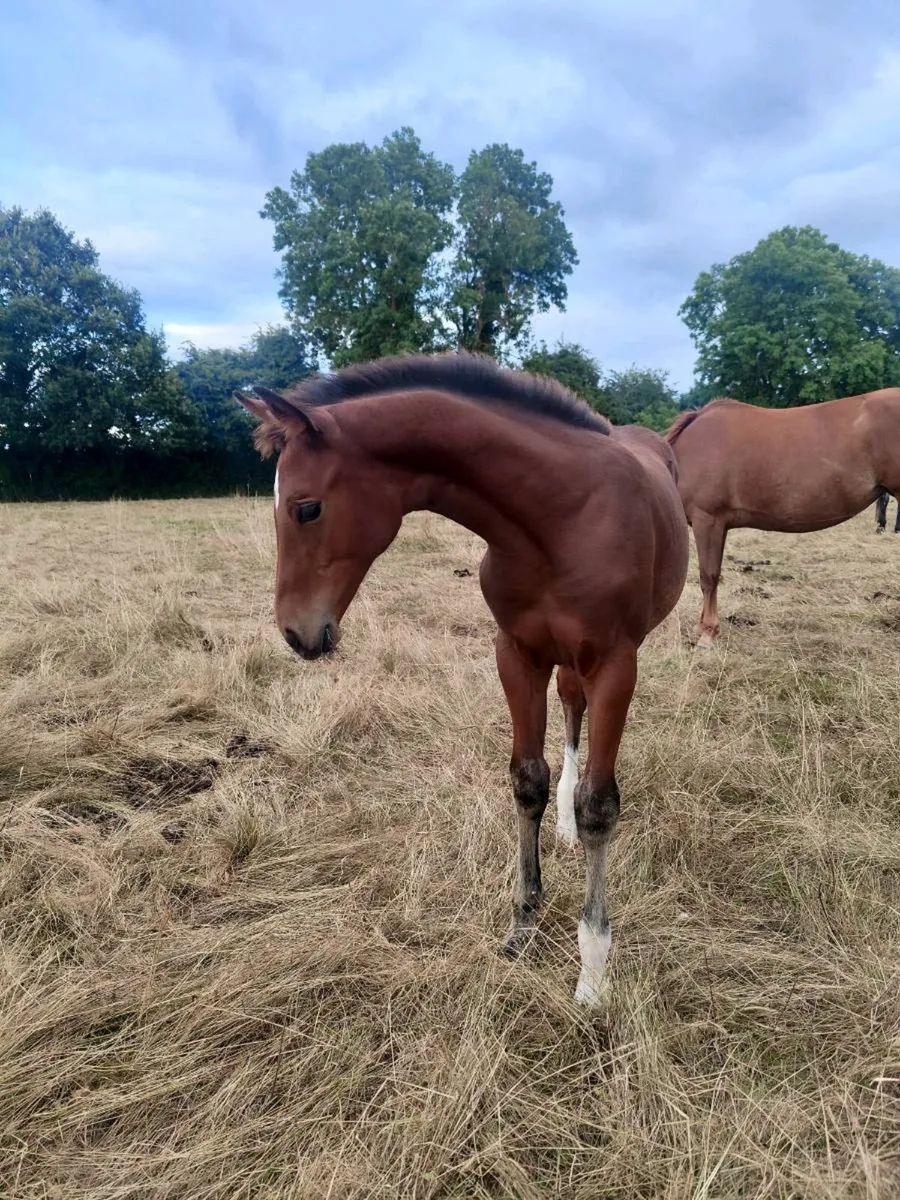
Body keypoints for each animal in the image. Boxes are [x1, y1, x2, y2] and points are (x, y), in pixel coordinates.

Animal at [236, 353, 689, 1007]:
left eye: (307, 508)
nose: (297, 634)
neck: (559, 516)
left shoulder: (615, 663)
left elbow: (601, 805)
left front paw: (593, 970)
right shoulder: (516, 654)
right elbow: (528, 781)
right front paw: (523, 925)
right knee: (569, 707)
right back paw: (563, 826)